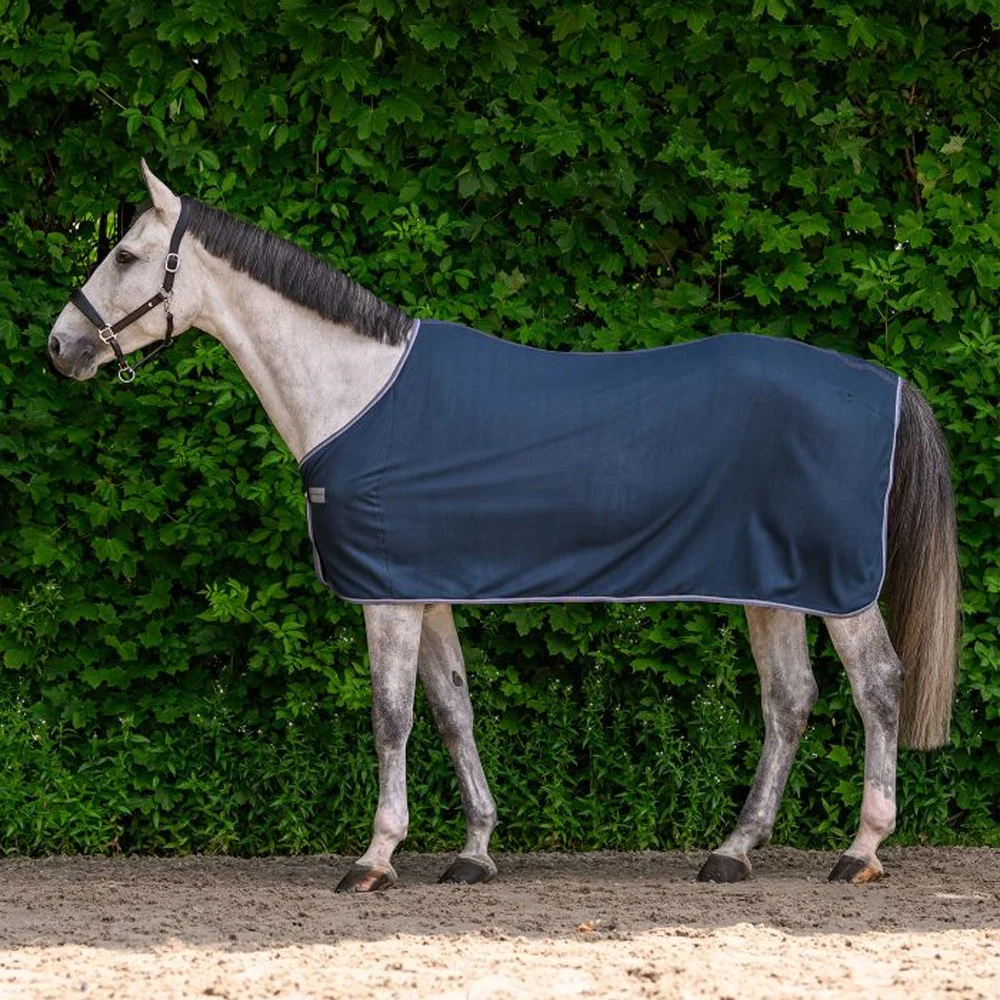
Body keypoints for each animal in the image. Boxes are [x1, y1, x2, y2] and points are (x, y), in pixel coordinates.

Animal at [48, 162, 960, 892]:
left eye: (124, 255)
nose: (59, 348)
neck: (356, 390)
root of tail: (887, 383)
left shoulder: (387, 597)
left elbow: (390, 717)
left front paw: (375, 860)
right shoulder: (423, 590)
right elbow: (454, 708)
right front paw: (475, 851)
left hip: (839, 586)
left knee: (878, 686)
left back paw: (860, 850)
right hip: (773, 584)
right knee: (790, 701)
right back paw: (732, 852)